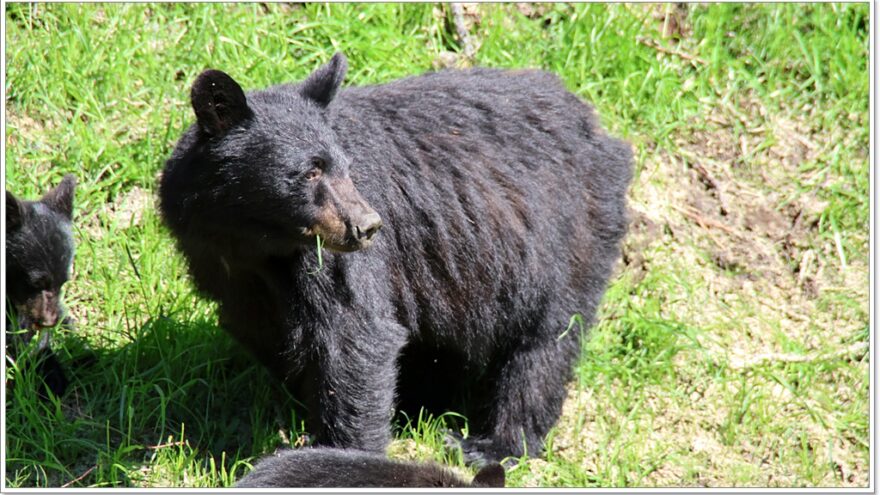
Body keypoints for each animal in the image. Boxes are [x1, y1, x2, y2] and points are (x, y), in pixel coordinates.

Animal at [160, 52, 632, 466]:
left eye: (346, 168)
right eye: (310, 171)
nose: (367, 226)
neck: (252, 242)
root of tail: (598, 127)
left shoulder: (333, 264)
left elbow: (355, 336)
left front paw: (340, 453)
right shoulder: (221, 265)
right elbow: (266, 330)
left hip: (565, 234)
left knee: (544, 343)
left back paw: (492, 444)